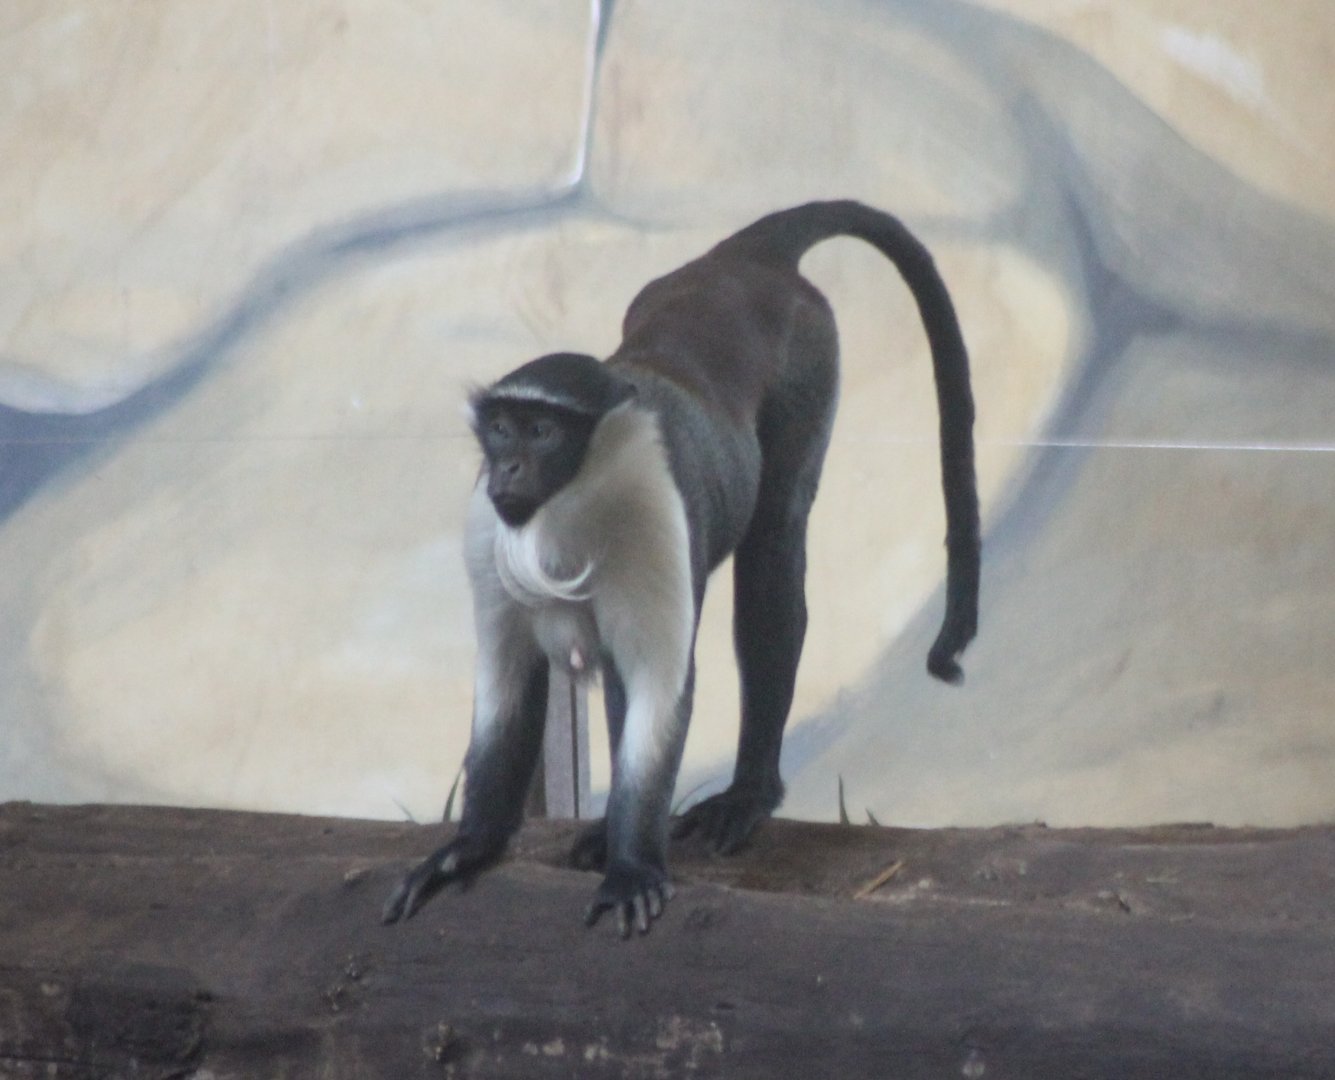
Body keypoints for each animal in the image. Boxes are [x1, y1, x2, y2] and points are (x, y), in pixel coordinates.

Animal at [382, 200, 979, 938]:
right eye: (500, 428)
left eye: (541, 432)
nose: (508, 469)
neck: (571, 507)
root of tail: (743, 257)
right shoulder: (487, 526)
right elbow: (509, 679)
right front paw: (469, 846)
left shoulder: (650, 516)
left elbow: (653, 680)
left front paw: (633, 866)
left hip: (809, 359)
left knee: (772, 548)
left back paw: (746, 794)